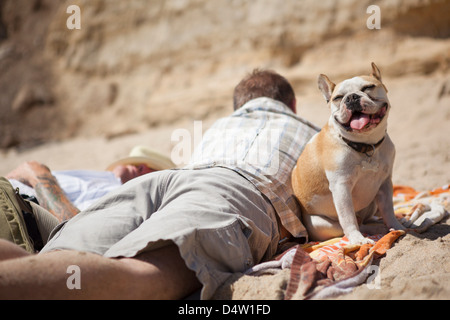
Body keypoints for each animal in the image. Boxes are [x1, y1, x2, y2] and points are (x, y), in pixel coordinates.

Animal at [292, 62, 404, 244]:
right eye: (338, 98)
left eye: (368, 87)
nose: (351, 97)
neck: (366, 145)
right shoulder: (341, 187)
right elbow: (348, 217)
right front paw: (358, 240)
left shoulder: (385, 183)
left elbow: (389, 210)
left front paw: (397, 226)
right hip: (321, 224)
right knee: (351, 225)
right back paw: (370, 232)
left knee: (366, 219)